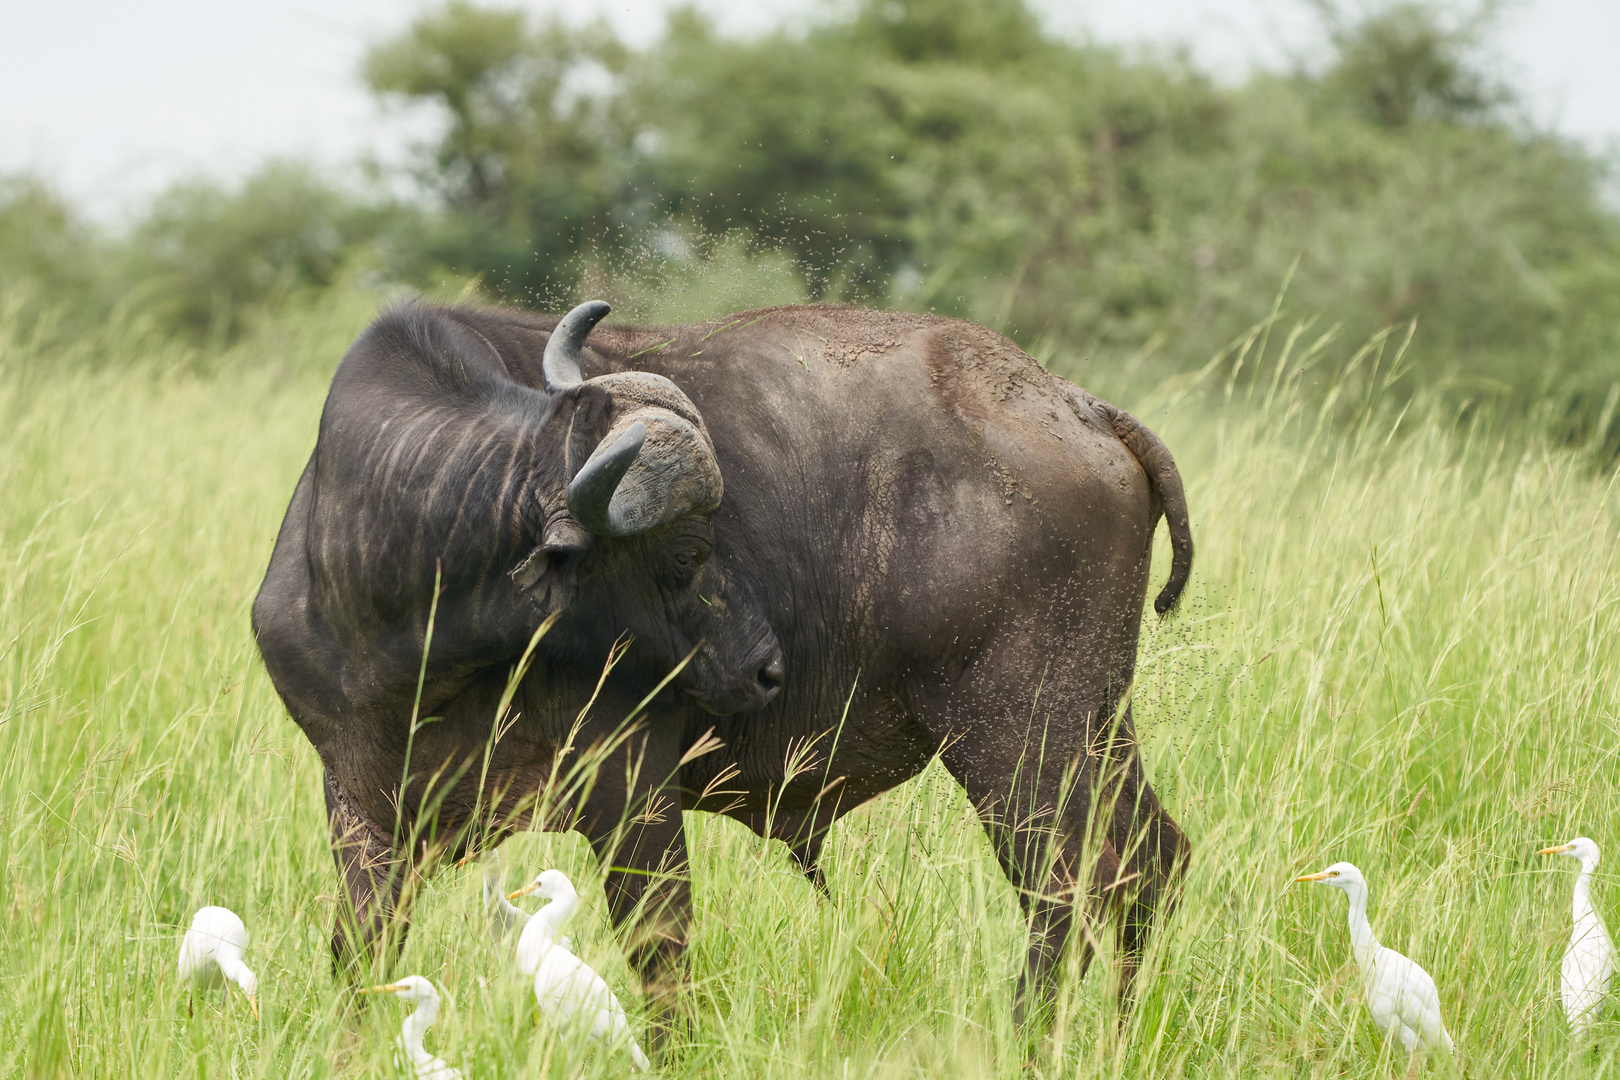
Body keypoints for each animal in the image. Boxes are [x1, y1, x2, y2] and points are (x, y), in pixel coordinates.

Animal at [249, 297, 1192, 1029]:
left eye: (707, 539)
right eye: (683, 556)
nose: (768, 668)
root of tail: (1074, 403)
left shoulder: (629, 784)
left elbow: (659, 950)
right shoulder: (360, 804)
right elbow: (360, 957)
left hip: (1018, 738)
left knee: (1066, 890)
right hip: (1099, 723)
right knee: (1150, 862)